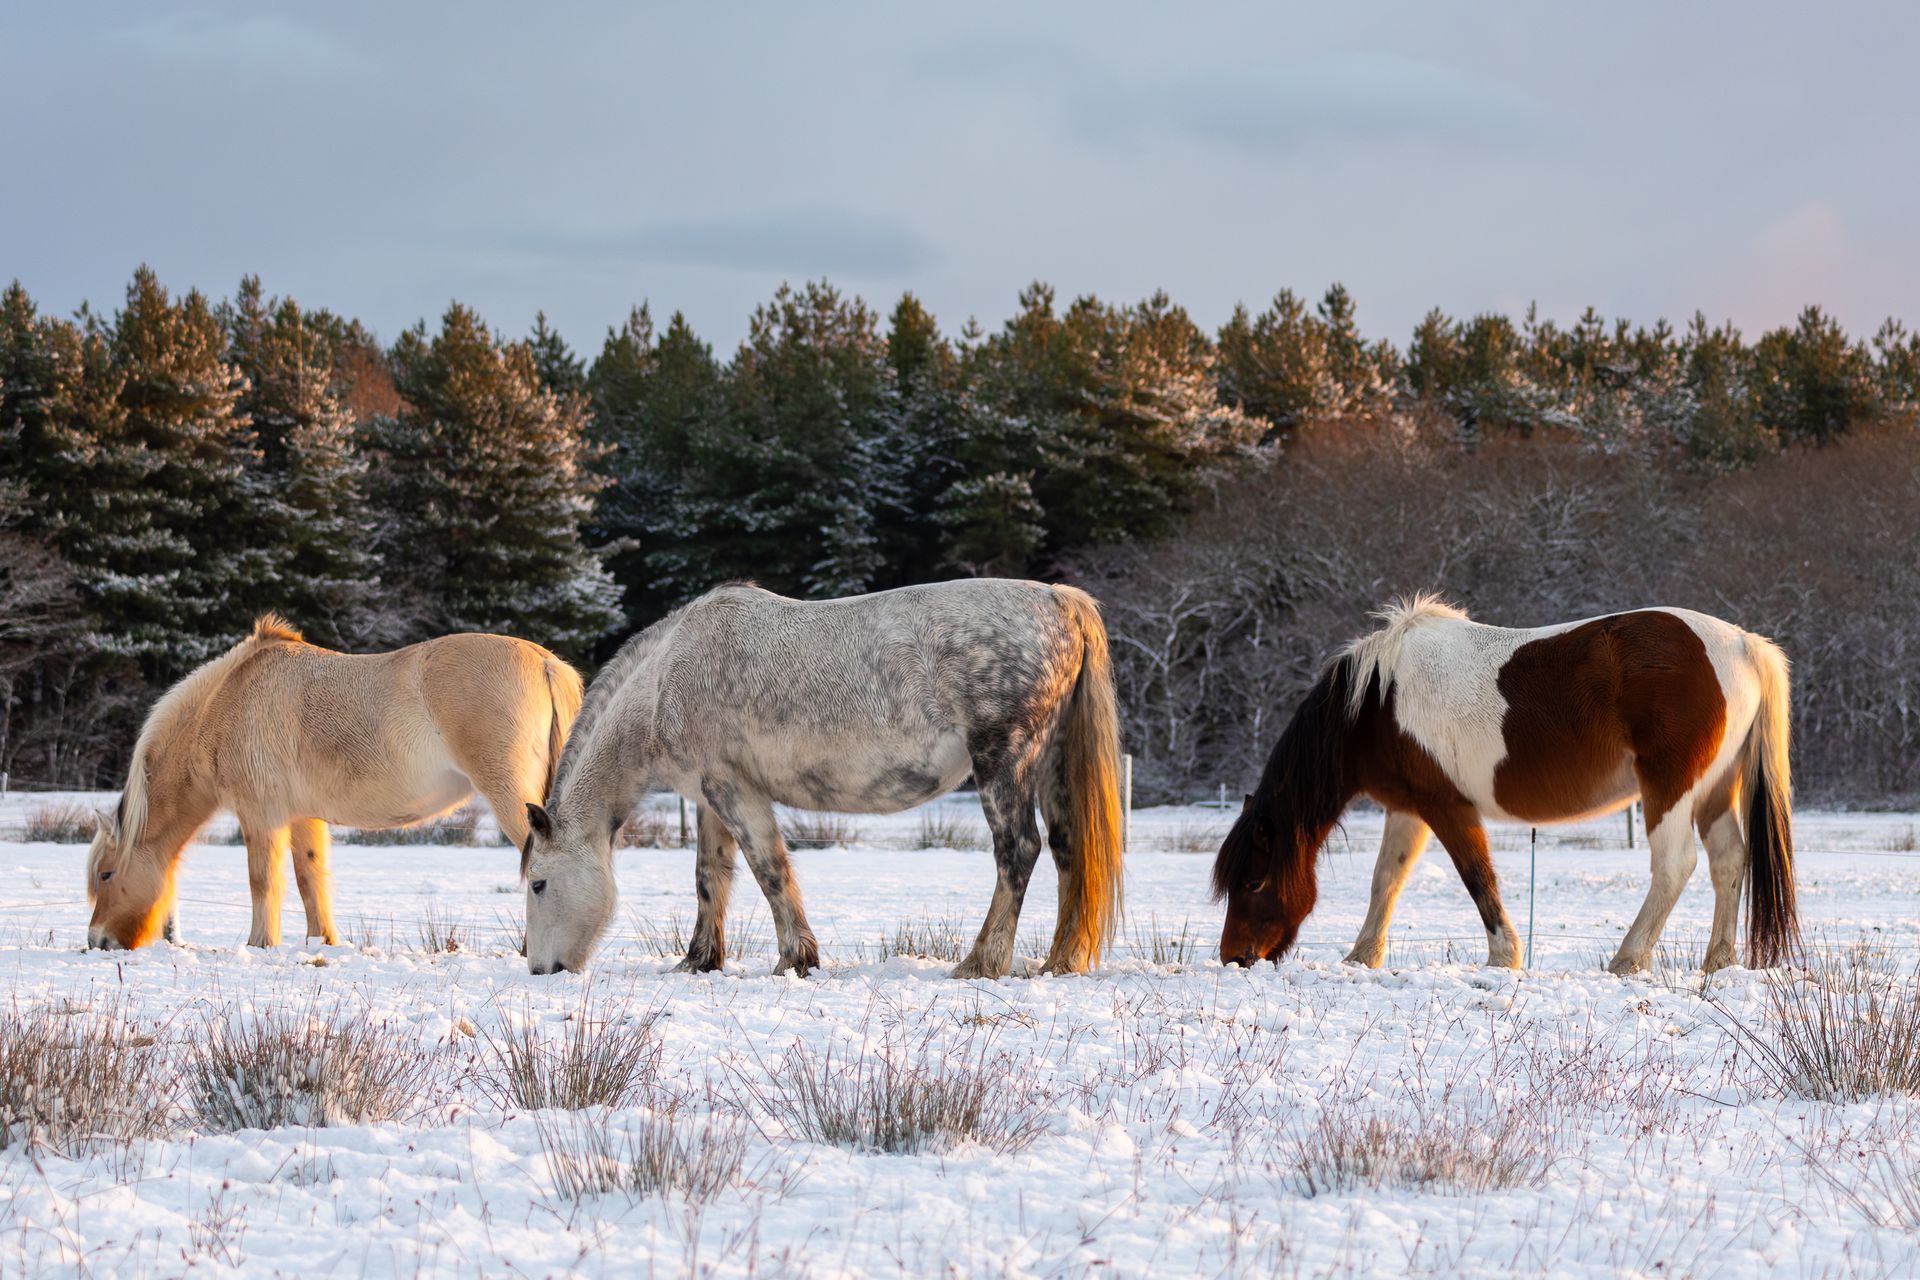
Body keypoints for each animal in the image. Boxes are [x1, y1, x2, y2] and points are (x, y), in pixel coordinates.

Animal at [86, 615, 583, 950]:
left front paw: (258, 945)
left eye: (106, 874)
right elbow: (311, 879)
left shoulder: (261, 816)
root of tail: (544, 663)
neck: (226, 701)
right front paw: (321, 942)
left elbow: (264, 881)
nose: (96, 941)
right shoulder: (303, 817)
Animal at [518, 579, 1124, 979]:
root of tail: (1060, 601)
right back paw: (1060, 961)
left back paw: (981, 962)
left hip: (1003, 764)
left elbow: (769, 871)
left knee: (1017, 852)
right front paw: (699, 960)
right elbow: (711, 877)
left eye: (538, 883)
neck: (667, 677)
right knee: (1069, 851)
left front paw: (795, 958)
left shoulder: (735, 792)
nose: (542, 968)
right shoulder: (711, 797)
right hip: (1050, 767)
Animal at [1213, 595, 1797, 975]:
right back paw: (1719, 961)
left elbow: (1477, 877)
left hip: (1670, 790)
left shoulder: (1447, 807)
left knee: (1674, 867)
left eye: (1253, 882)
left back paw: (1628, 959)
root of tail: (1743, 645)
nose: (1234, 958)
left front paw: (1503, 957)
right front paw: (1363, 956)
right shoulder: (1408, 808)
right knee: (1728, 862)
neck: (1376, 703)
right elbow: (1387, 879)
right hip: (1714, 792)